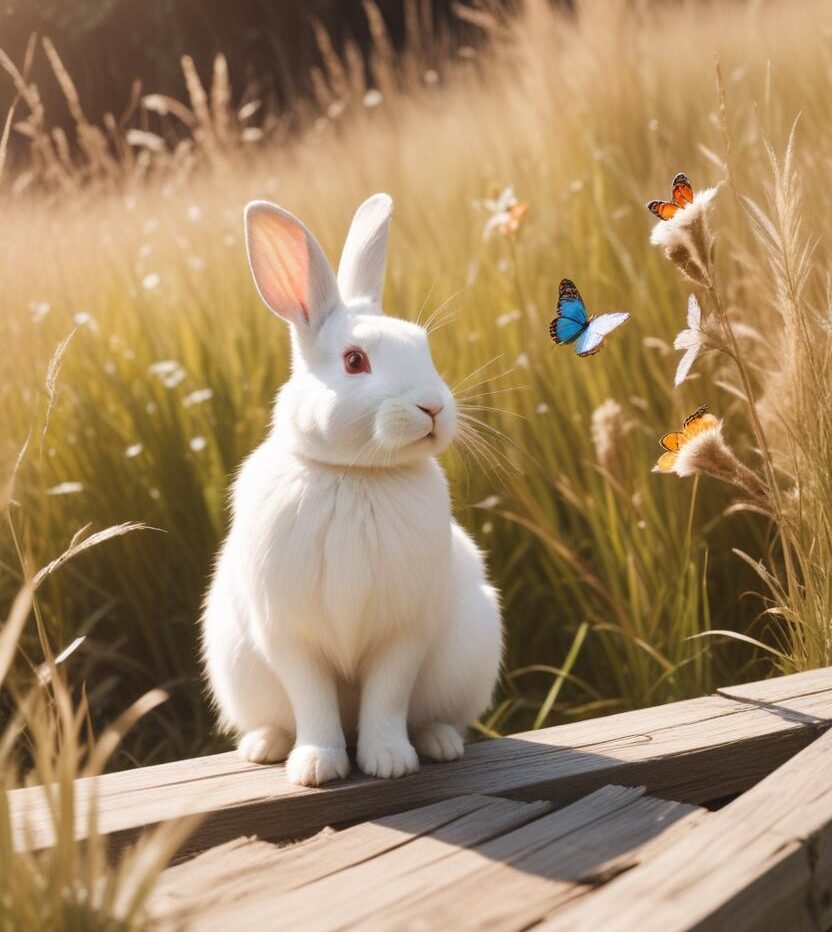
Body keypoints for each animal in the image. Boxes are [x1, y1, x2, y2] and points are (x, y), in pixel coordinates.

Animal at [201, 192, 503, 787]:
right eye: (355, 361)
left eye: (425, 347)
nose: (433, 407)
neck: (355, 473)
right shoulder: (290, 637)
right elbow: (313, 701)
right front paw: (317, 767)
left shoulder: (402, 634)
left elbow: (387, 697)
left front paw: (388, 762)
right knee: (280, 718)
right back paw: (264, 747)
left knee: (435, 715)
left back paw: (439, 744)